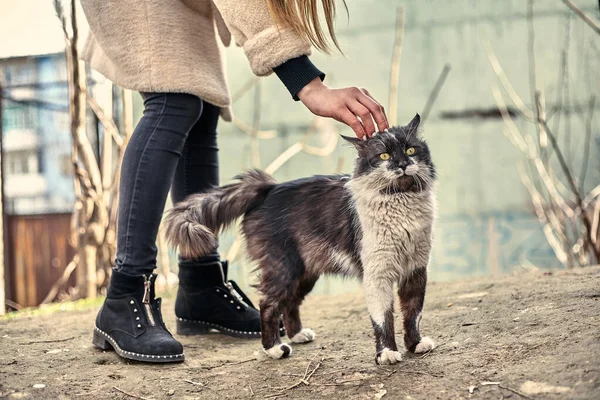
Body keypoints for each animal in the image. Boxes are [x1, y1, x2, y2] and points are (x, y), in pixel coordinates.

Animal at [164, 113, 436, 366]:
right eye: (384, 156)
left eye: (410, 150)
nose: (402, 164)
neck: (401, 202)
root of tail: (269, 188)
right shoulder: (377, 275)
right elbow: (383, 318)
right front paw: (387, 353)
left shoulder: (416, 269)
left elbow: (414, 312)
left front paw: (415, 344)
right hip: (282, 267)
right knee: (268, 304)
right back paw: (275, 349)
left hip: (304, 271)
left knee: (290, 302)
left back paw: (297, 335)